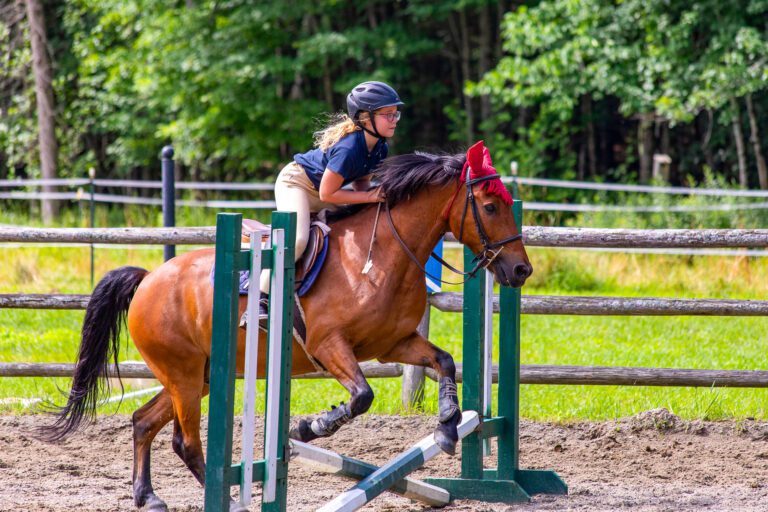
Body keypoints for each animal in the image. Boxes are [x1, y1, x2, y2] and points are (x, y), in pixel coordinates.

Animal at [39, 141, 532, 511]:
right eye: (490, 206)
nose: (521, 271)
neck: (382, 255)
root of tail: (148, 279)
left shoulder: (394, 343)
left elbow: (444, 362)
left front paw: (448, 427)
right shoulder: (330, 346)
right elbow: (362, 396)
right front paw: (310, 427)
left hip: (196, 376)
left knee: (144, 421)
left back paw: (149, 497)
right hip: (183, 374)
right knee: (187, 441)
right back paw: (227, 501)